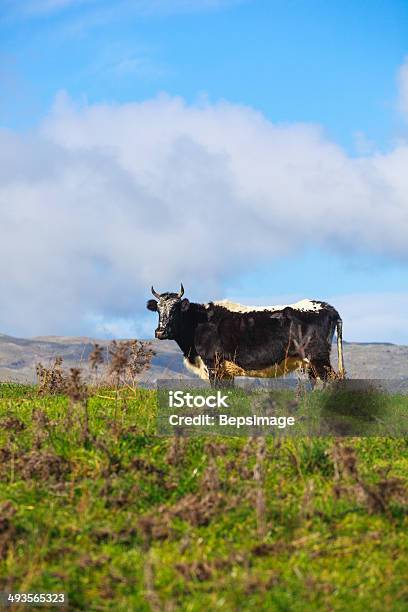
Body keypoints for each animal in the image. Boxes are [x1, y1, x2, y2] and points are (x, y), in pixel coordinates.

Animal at [147, 284, 344, 388]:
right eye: (158, 309)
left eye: (175, 309)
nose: (160, 332)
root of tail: (327, 307)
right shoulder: (225, 372)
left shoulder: (213, 364)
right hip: (310, 362)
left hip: (318, 357)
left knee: (332, 381)